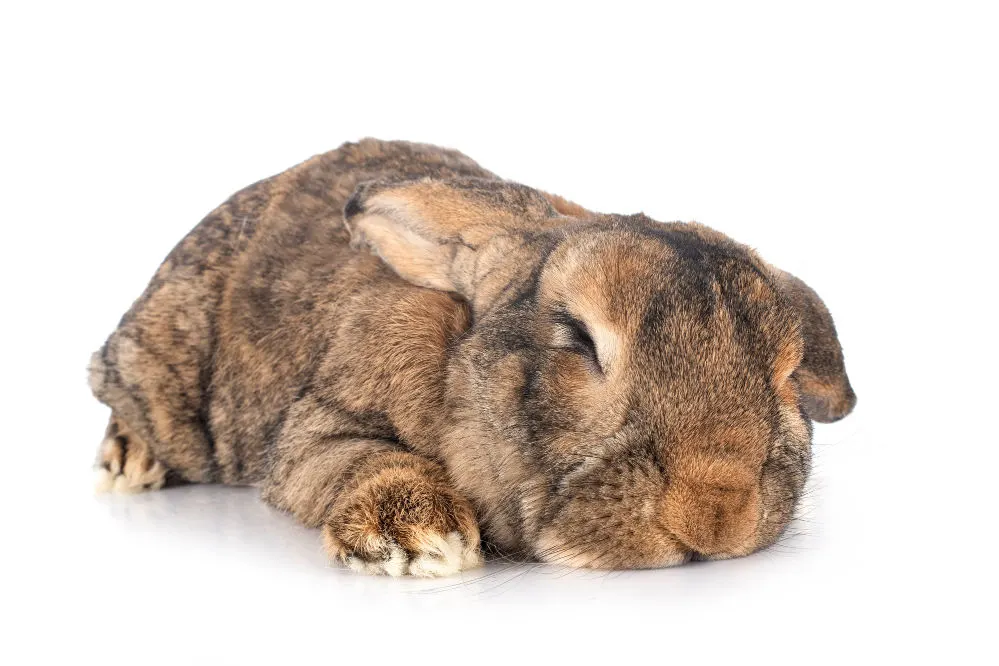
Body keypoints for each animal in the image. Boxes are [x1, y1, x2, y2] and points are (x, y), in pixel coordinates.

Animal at [88, 137, 860, 572]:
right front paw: (422, 542)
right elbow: (354, 460)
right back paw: (130, 463)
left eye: (787, 375)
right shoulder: (315, 431)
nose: (714, 514)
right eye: (578, 337)